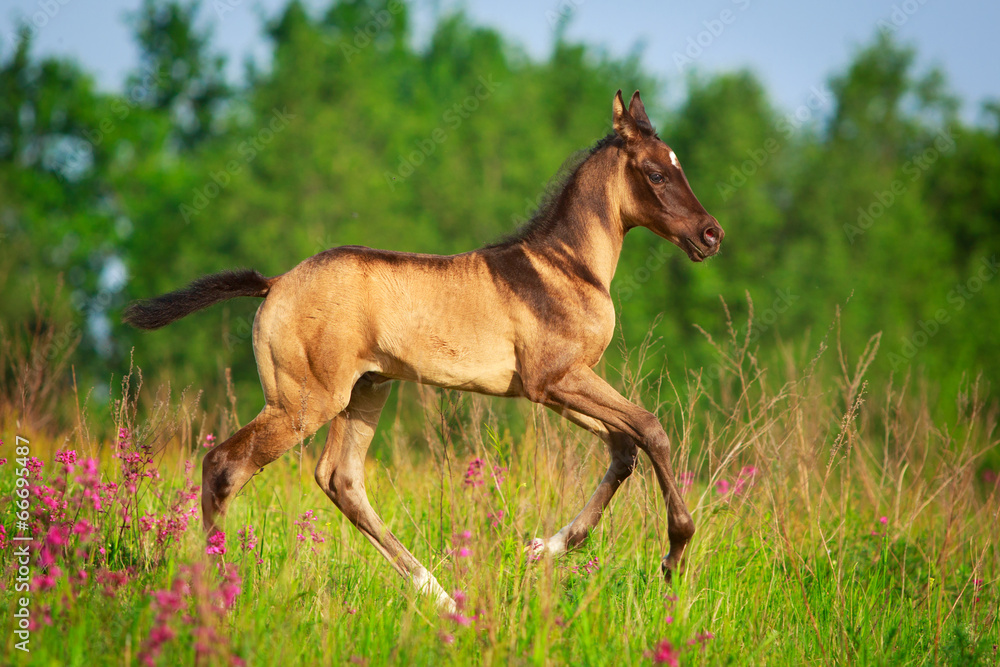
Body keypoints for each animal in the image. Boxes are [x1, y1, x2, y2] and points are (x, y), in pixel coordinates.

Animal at [125, 90, 724, 612]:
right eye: (656, 172)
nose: (711, 234)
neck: (566, 266)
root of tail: (274, 284)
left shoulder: (554, 389)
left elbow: (623, 447)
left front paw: (541, 550)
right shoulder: (556, 379)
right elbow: (651, 428)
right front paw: (674, 553)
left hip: (364, 393)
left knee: (341, 480)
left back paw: (437, 593)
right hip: (304, 403)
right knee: (224, 465)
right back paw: (217, 588)